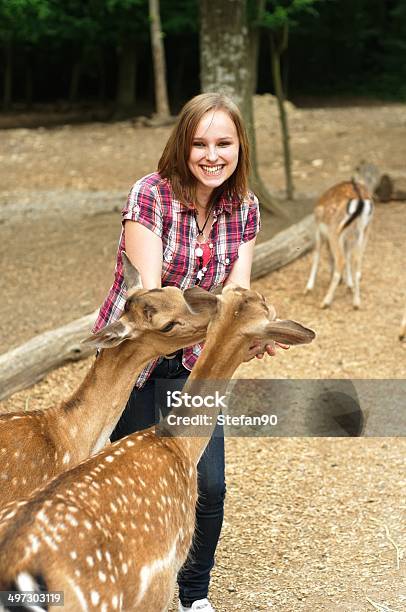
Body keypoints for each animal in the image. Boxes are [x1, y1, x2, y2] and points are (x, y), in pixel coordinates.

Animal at [304, 160, 380, 308]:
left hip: (335, 230)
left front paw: (308, 287)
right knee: (356, 260)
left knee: (341, 260)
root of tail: (361, 200)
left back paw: (326, 301)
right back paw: (356, 301)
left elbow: (317, 255)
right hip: (365, 231)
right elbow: (348, 254)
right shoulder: (348, 237)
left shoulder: (318, 229)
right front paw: (349, 285)